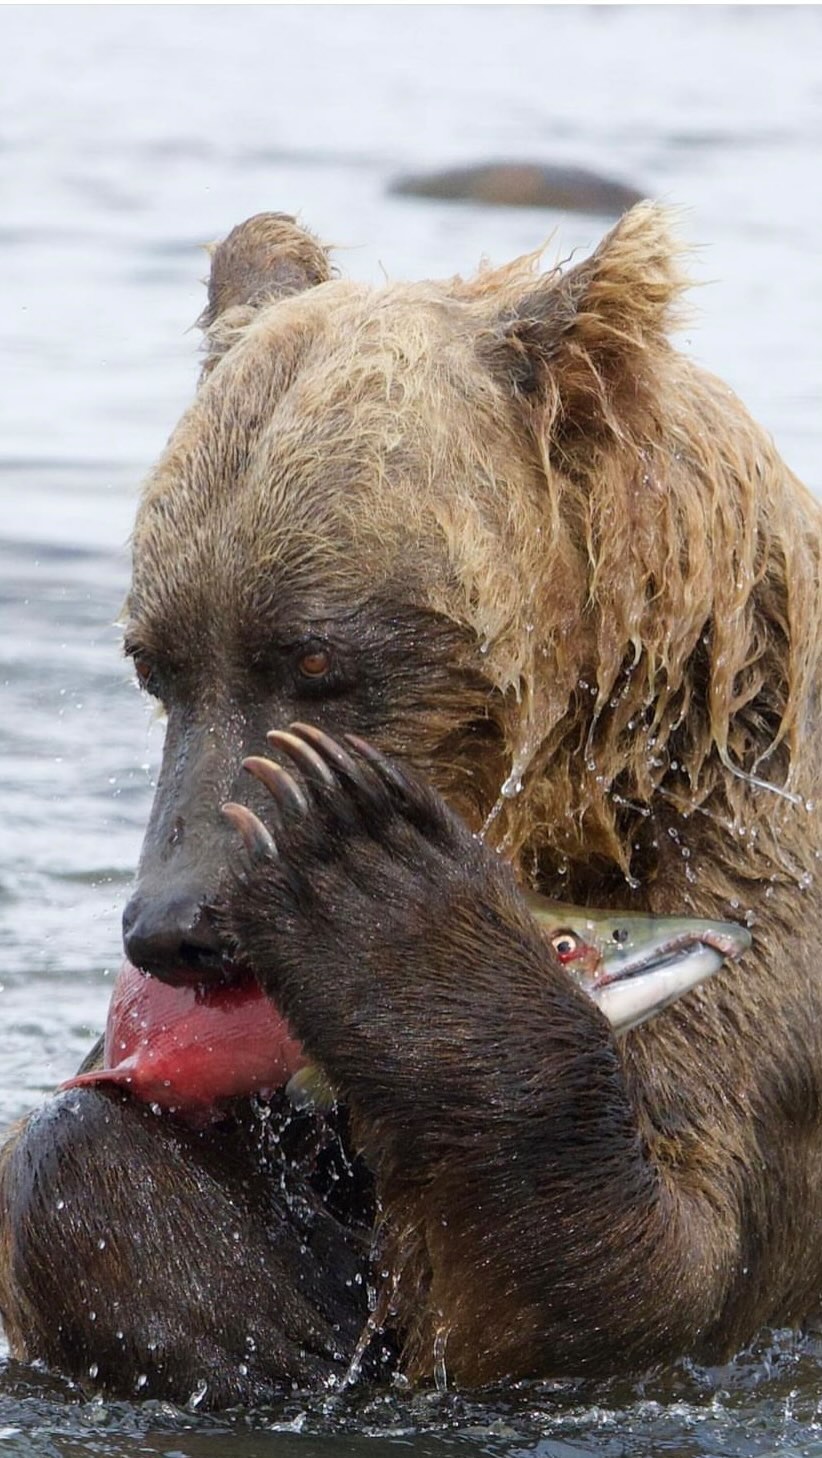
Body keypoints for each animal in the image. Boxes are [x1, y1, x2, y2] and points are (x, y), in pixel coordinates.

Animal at [1, 204, 821, 1405]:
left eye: (313, 656)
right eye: (155, 663)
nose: (175, 927)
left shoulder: (755, 896)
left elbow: (638, 1277)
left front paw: (372, 876)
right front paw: (247, 1307)